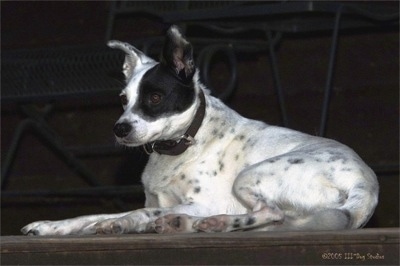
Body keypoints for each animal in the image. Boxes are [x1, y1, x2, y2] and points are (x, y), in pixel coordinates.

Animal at [21, 26, 378, 236]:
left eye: (154, 97)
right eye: (123, 99)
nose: (119, 129)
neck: (184, 144)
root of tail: (365, 183)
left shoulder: (205, 201)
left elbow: (137, 210)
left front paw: (116, 222)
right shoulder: (164, 199)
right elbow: (96, 213)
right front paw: (52, 226)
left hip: (248, 178)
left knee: (272, 214)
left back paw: (214, 223)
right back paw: (184, 223)